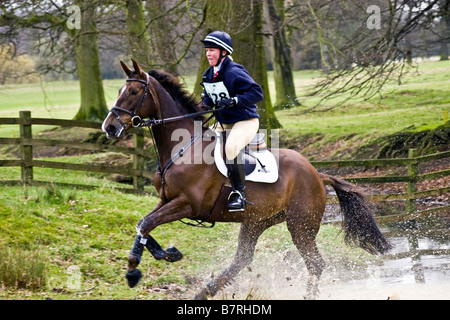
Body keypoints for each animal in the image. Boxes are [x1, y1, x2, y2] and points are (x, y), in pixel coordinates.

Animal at [101, 59, 390, 300]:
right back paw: (203, 293)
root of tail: (316, 173)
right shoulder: (166, 200)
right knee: (243, 259)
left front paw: (138, 268)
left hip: (301, 226)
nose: (110, 127)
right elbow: (143, 224)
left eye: (134, 92)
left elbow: (147, 223)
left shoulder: (187, 204)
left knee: (315, 263)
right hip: (256, 221)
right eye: (120, 90)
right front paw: (154, 259)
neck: (182, 147)